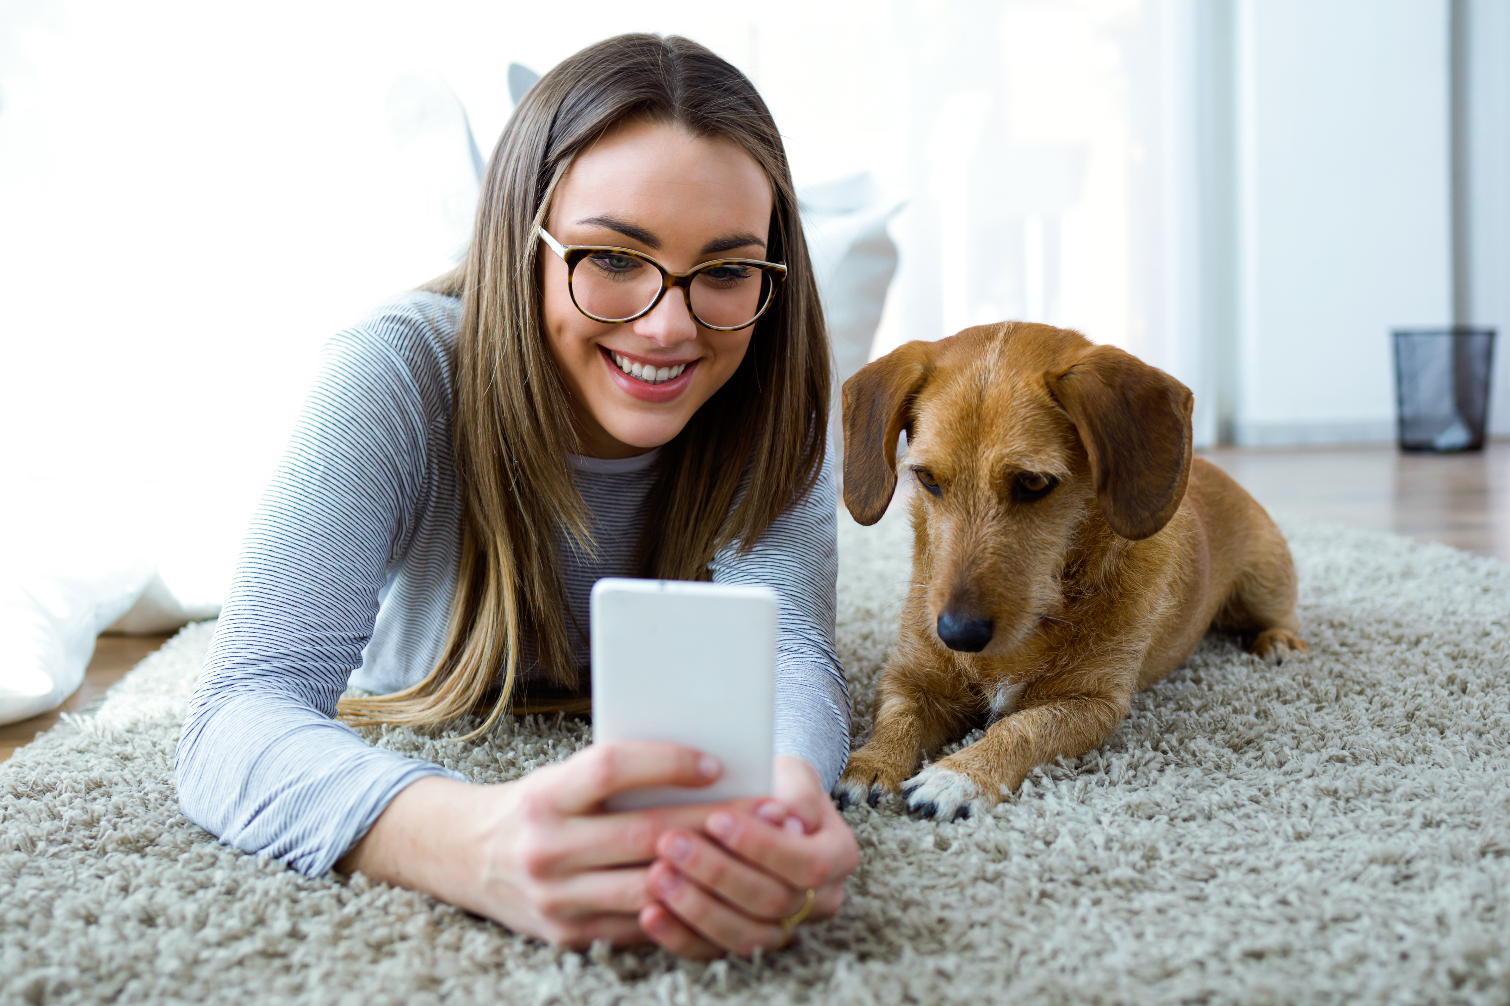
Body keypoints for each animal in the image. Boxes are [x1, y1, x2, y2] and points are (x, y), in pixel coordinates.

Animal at [833, 324, 1304, 821]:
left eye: (1034, 482)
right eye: (926, 478)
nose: (956, 634)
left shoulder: (1091, 706)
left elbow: (1021, 727)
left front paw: (961, 774)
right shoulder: (910, 680)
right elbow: (897, 719)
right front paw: (870, 764)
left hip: (1262, 585)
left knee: (1283, 614)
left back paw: (1279, 641)